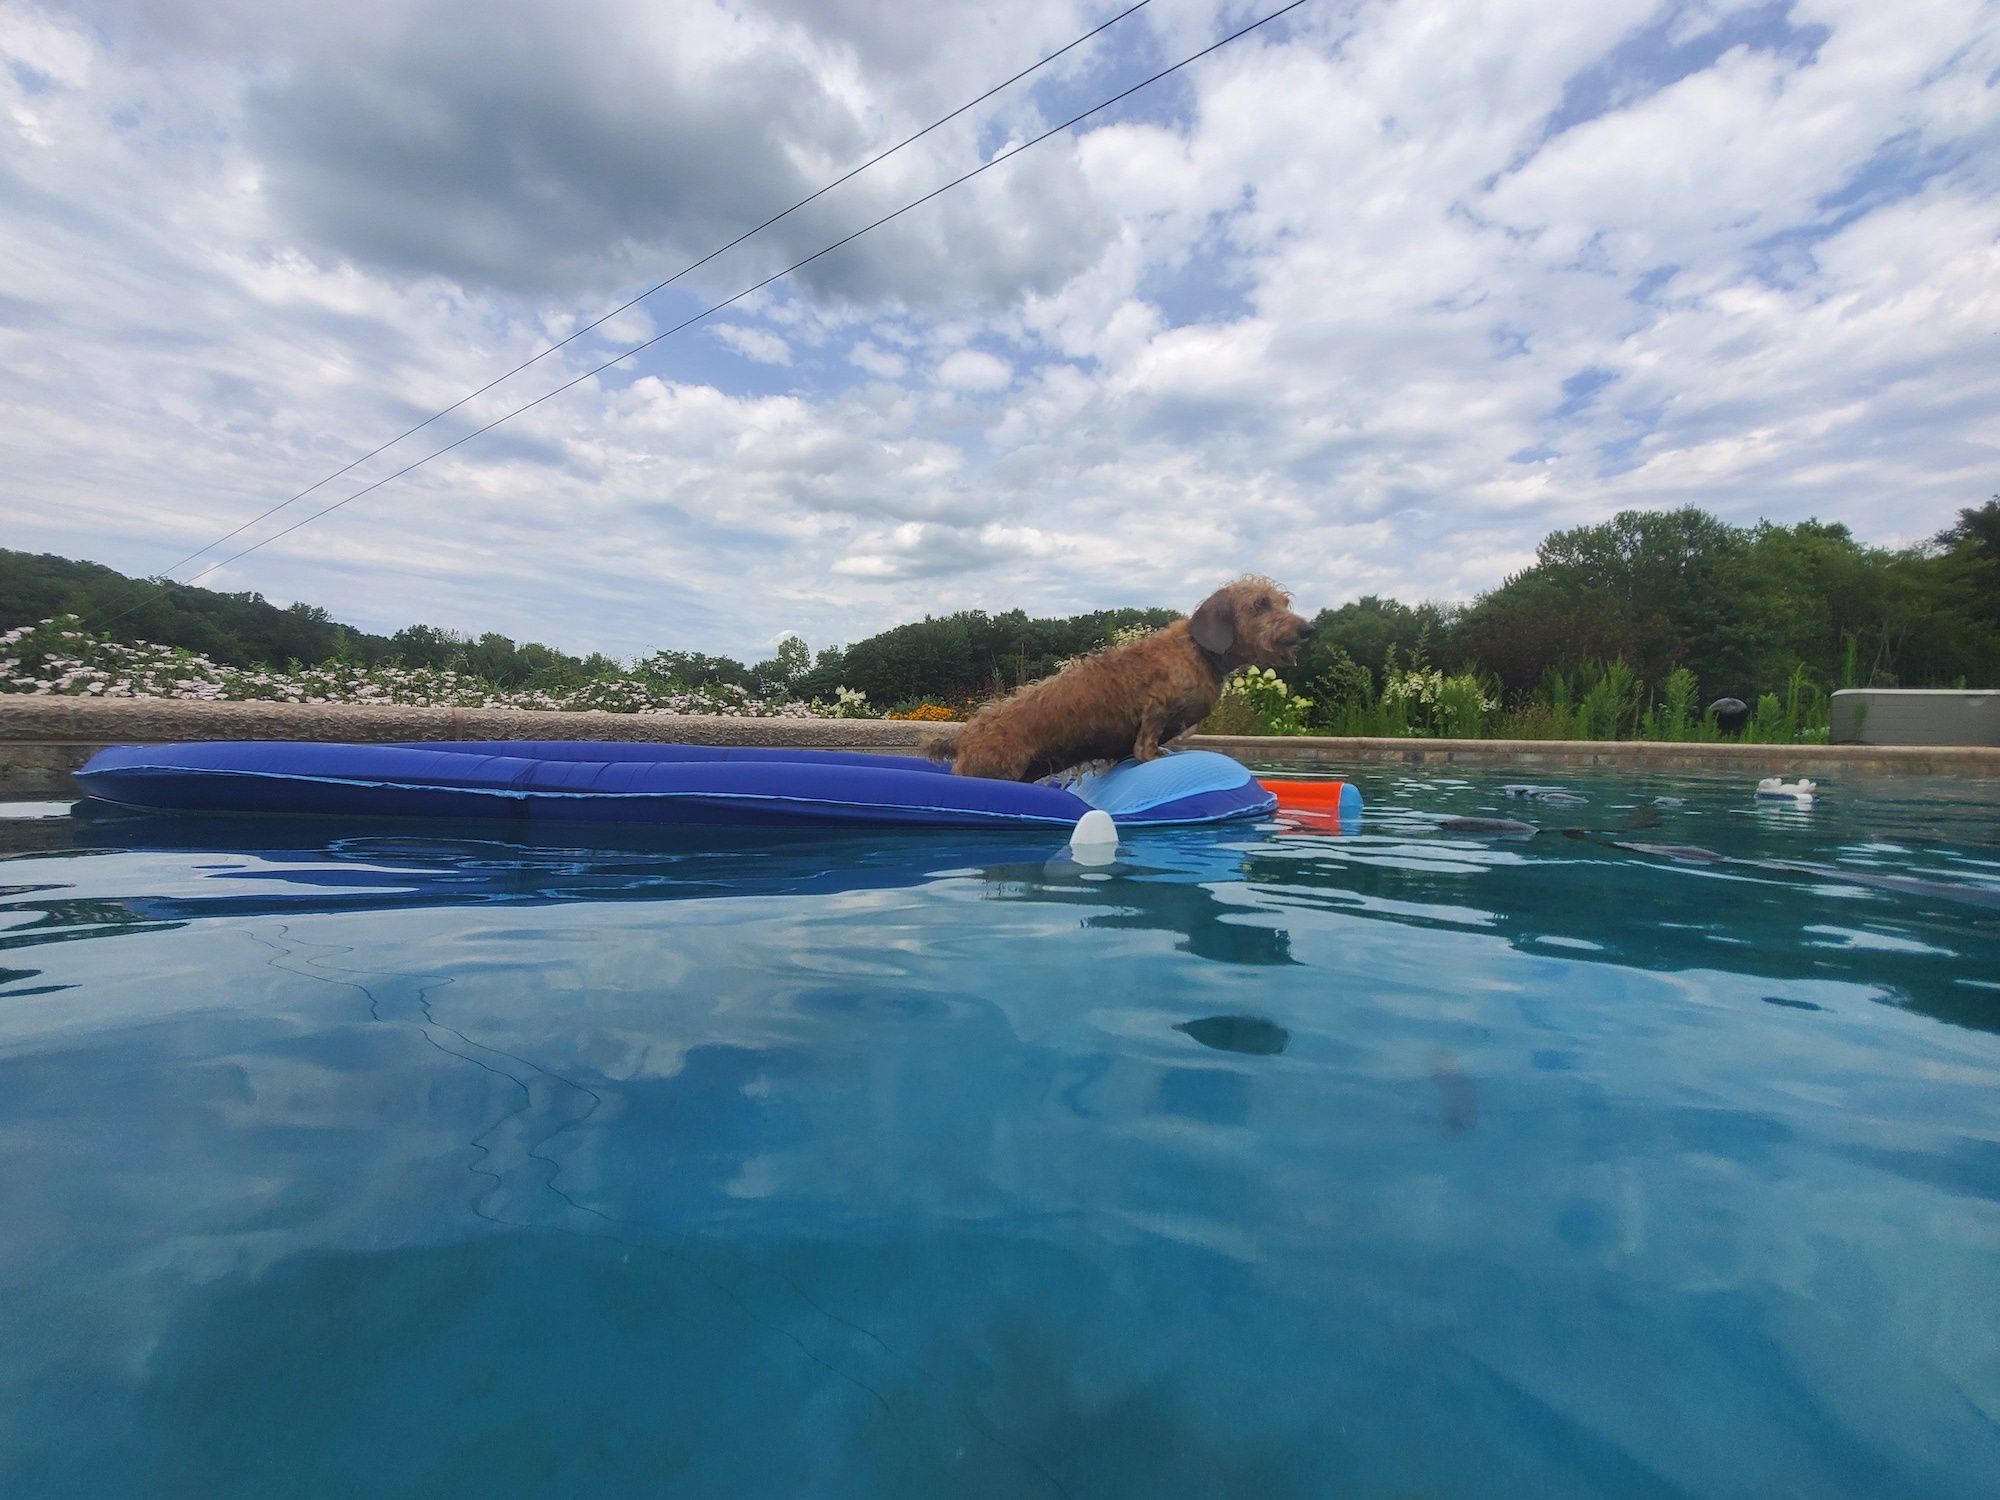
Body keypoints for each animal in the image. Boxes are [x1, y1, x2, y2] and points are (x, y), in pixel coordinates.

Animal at [928, 580, 1320, 788]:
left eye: (1283, 602)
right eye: (1259, 604)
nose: (1309, 629)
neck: (1198, 650)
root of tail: (965, 735)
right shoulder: (1155, 709)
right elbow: (1146, 745)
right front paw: (1156, 755)